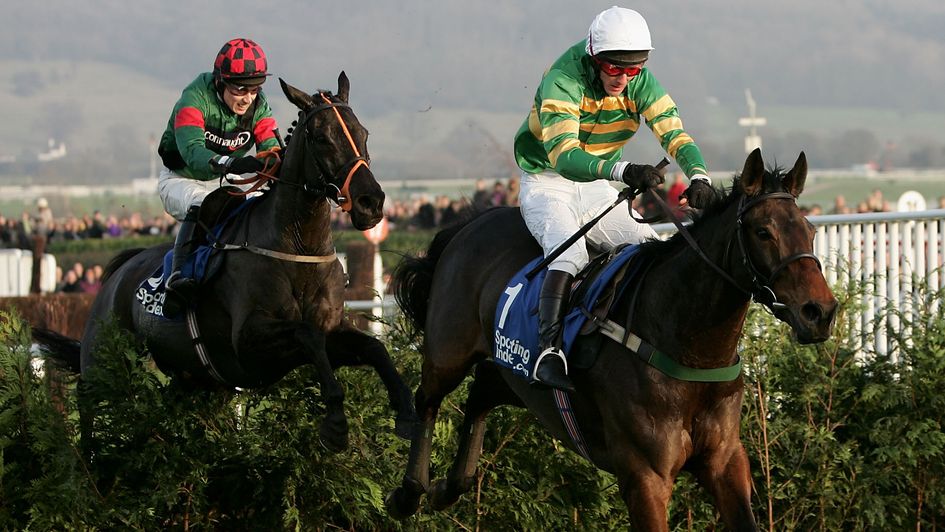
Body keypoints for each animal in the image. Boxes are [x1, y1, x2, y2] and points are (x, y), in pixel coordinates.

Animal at [35, 75, 414, 456]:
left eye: (363, 132)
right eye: (322, 137)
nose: (370, 202)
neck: (297, 247)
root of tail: (117, 274)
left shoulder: (327, 331)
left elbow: (372, 348)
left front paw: (405, 408)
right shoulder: (248, 342)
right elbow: (308, 336)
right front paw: (335, 422)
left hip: (191, 376)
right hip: (105, 356)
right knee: (87, 397)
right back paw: (87, 456)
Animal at [388, 148, 836, 528]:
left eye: (809, 229)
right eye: (762, 232)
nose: (820, 312)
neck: (688, 347)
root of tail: (471, 222)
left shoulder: (725, 461)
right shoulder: (645, 477)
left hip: (513, 375)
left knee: (480, 392)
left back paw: (451, 487)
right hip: (448, 352)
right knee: (427, 401)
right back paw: (409, 494)